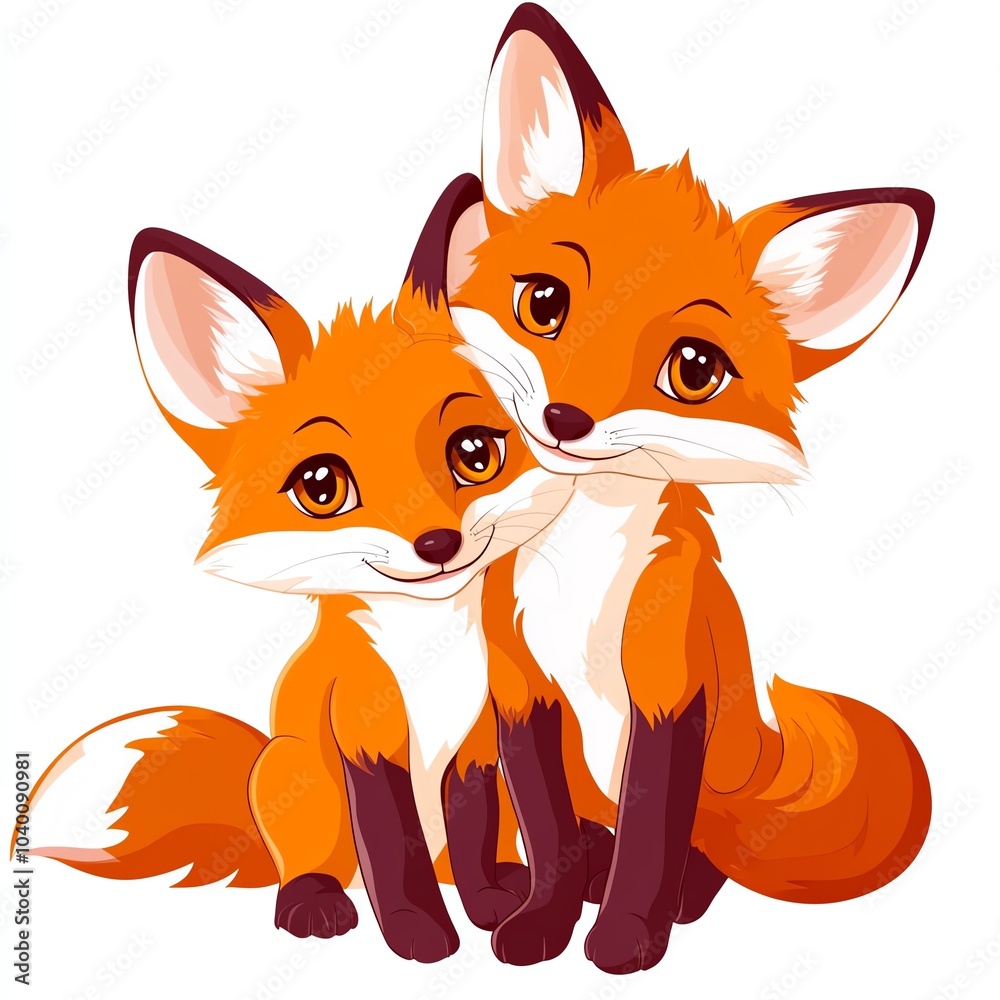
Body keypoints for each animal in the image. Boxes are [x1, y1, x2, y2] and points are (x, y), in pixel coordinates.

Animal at [16, 214, 617, 962]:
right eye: (321, 487)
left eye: (475, 454)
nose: (437, 545)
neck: (430, 661)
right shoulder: (364, 737)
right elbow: (392, 849)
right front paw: (419, 934)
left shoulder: (477, 745)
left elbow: (473, 842)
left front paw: (489, 908)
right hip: (292, 771)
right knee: (314, 868)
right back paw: (314, 902)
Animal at [430, 3, 934, 973]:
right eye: (544, 303)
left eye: (693, 369)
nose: (565, 418)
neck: (582, 578)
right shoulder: (524, 693)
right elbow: (549, 834)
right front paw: (546, 921)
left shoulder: (668, 693)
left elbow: (651, 838)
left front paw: (627, 936)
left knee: (705, 856)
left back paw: (681, 898)